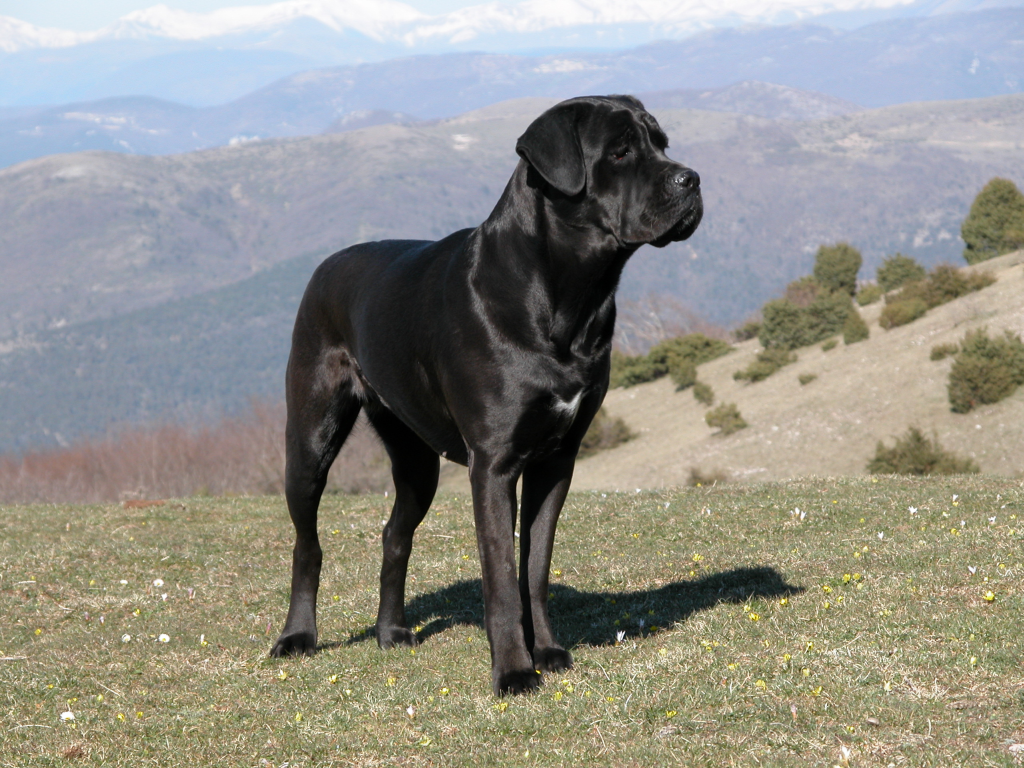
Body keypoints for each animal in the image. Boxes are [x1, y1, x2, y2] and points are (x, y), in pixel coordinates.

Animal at [272, 96, 704, 696]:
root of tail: (324, 266)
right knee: (306, 543)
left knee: (394, 534)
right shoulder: (493, 464)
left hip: (417, 462)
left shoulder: (557, 461)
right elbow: (500, 576)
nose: (692, 179)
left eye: (662, 144)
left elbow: (535, 567)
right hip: (311, 438)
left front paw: (546, 650)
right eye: (619, 151)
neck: (566, 295)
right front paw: (514, 670)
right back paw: (297, 637)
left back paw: (392, 632)